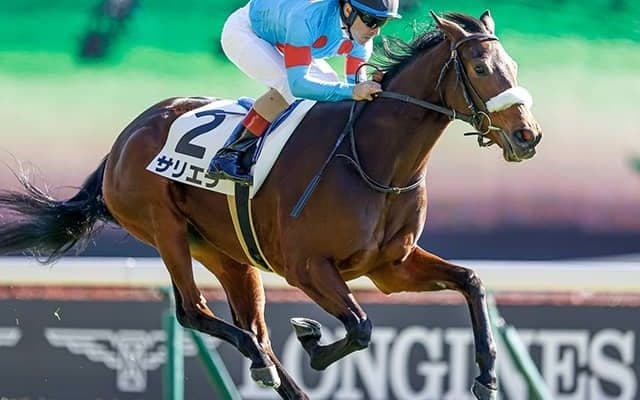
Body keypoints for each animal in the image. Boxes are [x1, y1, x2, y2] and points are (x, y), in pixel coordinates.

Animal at [0, 11, 541, 400]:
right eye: (479, 68)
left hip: (227, 254)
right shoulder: (306, 266)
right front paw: (312, 341)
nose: (527, 136)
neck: (371, 158)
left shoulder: (392, 267)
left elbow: (471, 282)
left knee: (251, 326)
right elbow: (361, 327)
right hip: (164, 227)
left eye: (513, 67)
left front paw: (487, 376)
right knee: (195, 312)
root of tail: (124, 138)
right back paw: (261, 362)